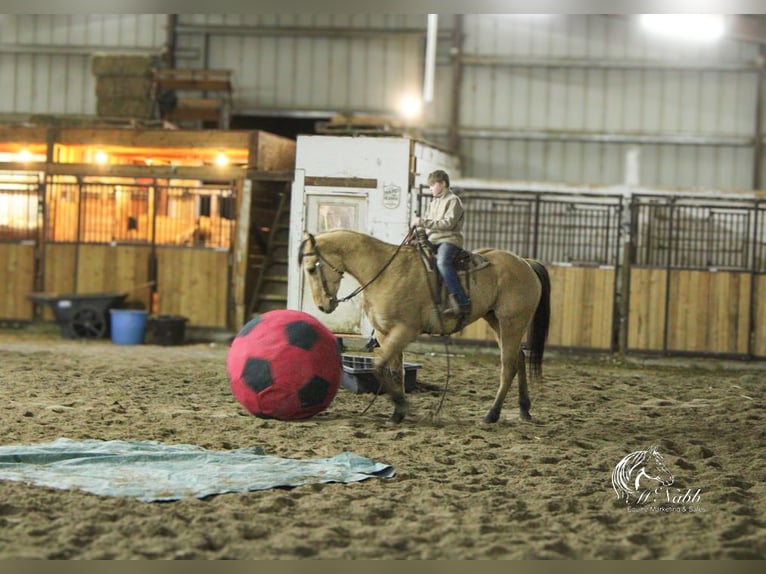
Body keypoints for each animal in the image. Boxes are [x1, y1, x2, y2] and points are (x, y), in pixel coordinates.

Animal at [300, 231, 552, 428]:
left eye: (312, 269)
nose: (323, 305)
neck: (384, 272)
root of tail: (525, 262)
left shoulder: (405, 330)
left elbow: (380, 366)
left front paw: (403, 407)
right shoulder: (384, 333)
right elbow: (394, 370)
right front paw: (397, 414)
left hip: (511, 322)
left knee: (508, 366)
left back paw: (492, 414)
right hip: (495, 320)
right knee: (519, 358)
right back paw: (524, 409)